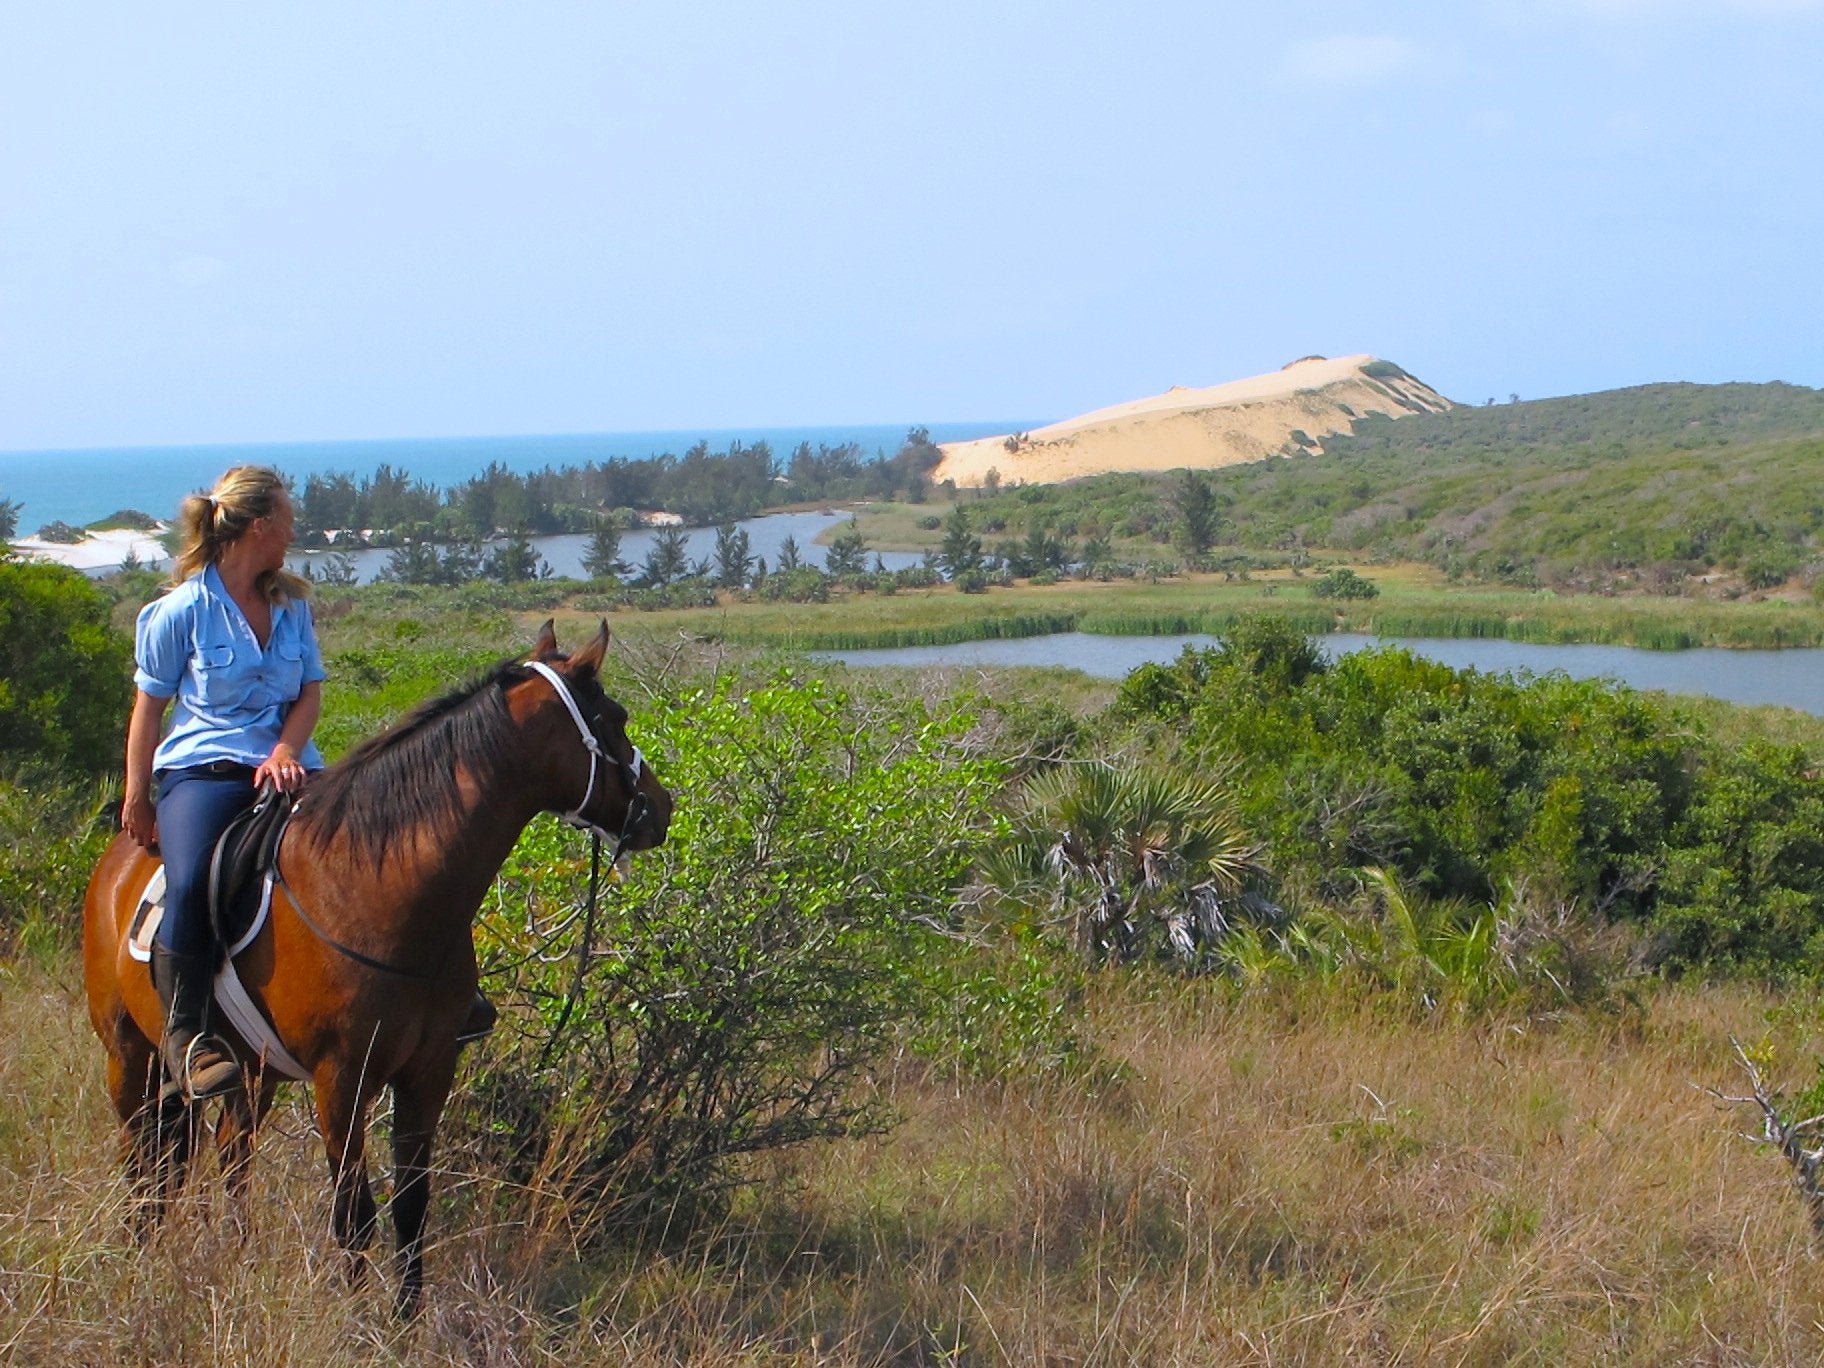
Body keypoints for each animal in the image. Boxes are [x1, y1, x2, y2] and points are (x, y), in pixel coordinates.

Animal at [83, 620, 671, 1320]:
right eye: (616, 718)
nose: (660, 808)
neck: (381, 890)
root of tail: (119, 855)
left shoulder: (427, 1071)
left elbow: (412, 1208)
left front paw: (405, 1321)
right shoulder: (341, 1080)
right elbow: (353, 1214)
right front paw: (358, 1321)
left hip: (250, 1071)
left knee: (229, 1158)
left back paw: (233, 1255)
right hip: (130, 1055)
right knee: (141, 1158)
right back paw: (139, 1251)